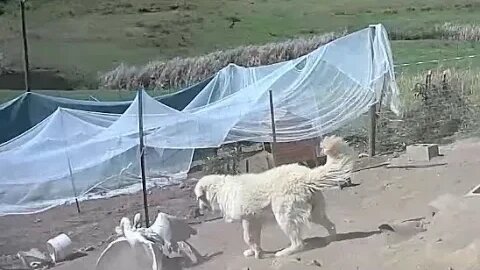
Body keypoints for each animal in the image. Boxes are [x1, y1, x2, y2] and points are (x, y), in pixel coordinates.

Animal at [193, 136, 354, 258]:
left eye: (198, 198)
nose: (198, 210)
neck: (220, 190)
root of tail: (307, 174)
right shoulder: (254, 221)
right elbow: (253, 239)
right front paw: (255, 251)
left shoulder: (248, 220)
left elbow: (247, 238)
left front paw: (257, 253)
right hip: (314, 213)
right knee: (331, 225)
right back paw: (331, 239)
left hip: (284, 216)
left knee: (298, 243)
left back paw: (284, 252)